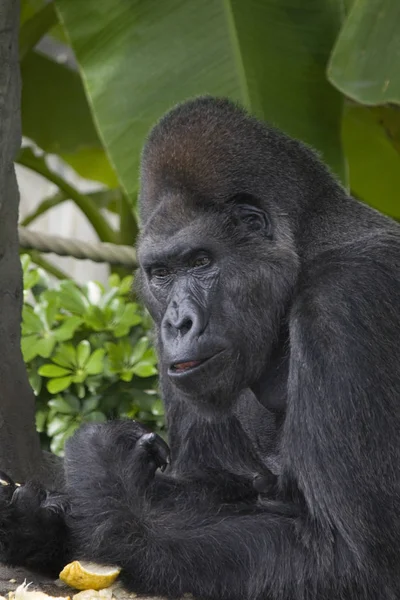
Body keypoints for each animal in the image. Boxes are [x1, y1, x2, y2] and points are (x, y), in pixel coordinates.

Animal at [0, 96, 400, 596]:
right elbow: (207, 485)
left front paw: (104, 477)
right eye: (161, 273)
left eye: (201, 261)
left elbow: (347, 556)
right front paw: (39, 526)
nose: (177, 322)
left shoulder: (349, 298)